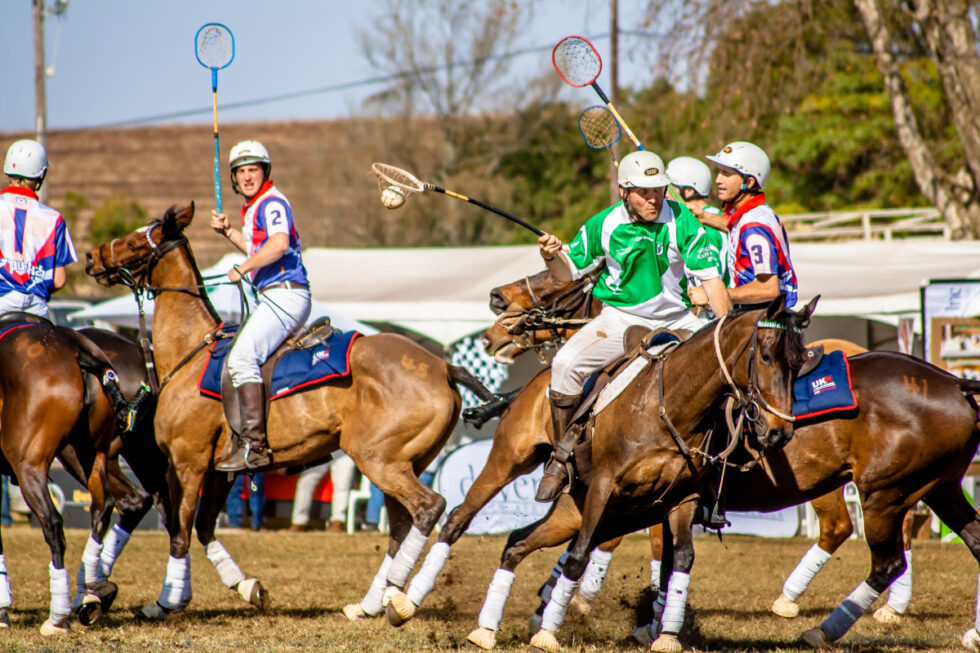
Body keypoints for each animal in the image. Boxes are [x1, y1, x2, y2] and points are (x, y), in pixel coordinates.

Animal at [83, 205, 494, 620]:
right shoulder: (220, 470)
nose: (92, 257)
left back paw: (401, 602)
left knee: (429, 508)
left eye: (136, 240)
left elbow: (180, 531)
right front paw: (247, 587)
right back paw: (369, 604)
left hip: (378, 458)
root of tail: (444, 366)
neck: (191, 350)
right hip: (407, 461)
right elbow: (204, 528)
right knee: (399, 525)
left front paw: (168, 601)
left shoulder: (188, 461)